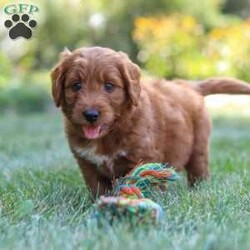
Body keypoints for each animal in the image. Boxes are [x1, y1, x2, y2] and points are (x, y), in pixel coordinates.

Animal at [50, 46, 250, 196]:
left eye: (109, 86)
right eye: (76, 85)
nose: (90, 115)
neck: (110, 134)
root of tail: (188, 85)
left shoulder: (141, 156)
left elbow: (139, 180)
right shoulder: (87, 163)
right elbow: (97, 187)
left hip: (198, 144)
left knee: (199, 170)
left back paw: (198, 192)